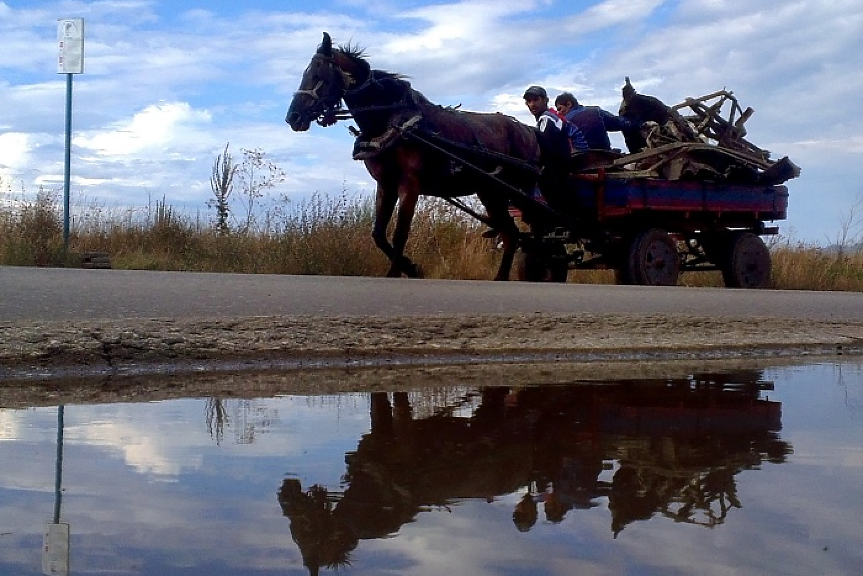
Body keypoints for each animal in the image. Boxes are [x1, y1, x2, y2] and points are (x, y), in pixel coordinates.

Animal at [286, 32, 544, 280]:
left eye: (318, 74)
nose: (293, 117)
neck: (394, 120)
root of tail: (527, 131)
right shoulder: (386, 185)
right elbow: (378, 234)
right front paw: (411, 268)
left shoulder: (409, 184)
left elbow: (400, 233)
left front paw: (396, 272)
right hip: (491, 193)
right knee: (511, 233)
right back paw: (501, 276)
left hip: (517, 190)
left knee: (534, 226)